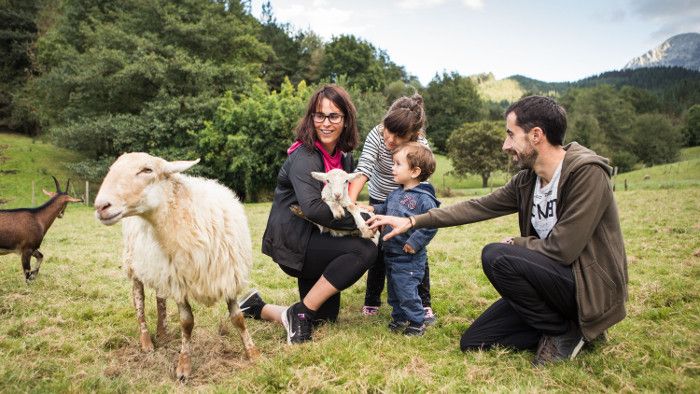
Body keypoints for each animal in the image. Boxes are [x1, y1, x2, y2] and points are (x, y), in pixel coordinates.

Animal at [92, 152, 258, 380]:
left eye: (147, 170)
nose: (101, 206)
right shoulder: (179, 283)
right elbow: (187, 323)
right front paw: (184, 366)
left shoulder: (226, 276)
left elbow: (238, 318)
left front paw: (253, 354)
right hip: (134, 264)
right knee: (139, 300)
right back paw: (146, 341)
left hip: (159, 269)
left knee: (160, 298)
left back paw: (162, 333)